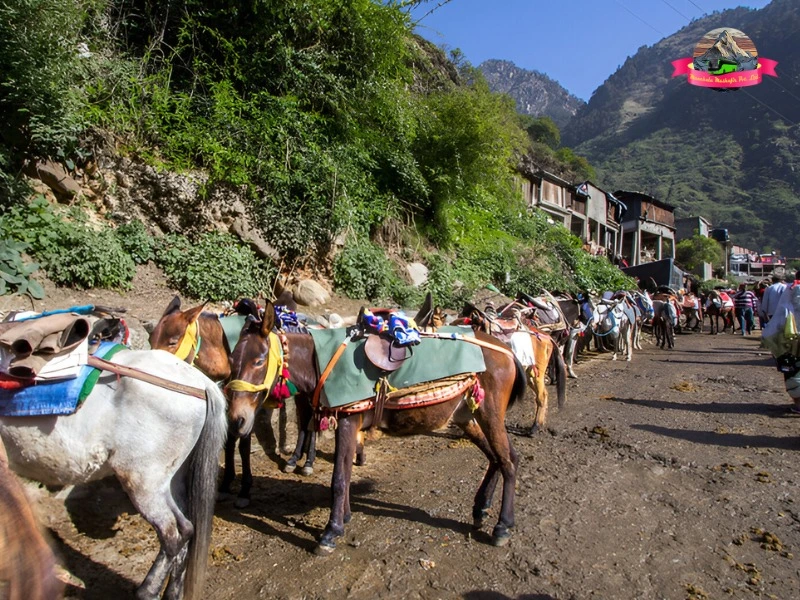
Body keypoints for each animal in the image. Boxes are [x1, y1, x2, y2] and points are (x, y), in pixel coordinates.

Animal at [227, 302, 524, 556]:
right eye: (233, 361)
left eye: (259, 361)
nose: (237, 419)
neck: (319, 361)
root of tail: (506, 350)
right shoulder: (346, 423)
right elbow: (345, 473)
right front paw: (345, 517)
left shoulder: (348, 422)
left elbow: (338, 479)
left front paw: (330, 532)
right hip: (467, 417)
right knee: (497, 458)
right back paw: (480, 509)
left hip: (489, 415)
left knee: (508, 462)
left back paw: (502, 526)